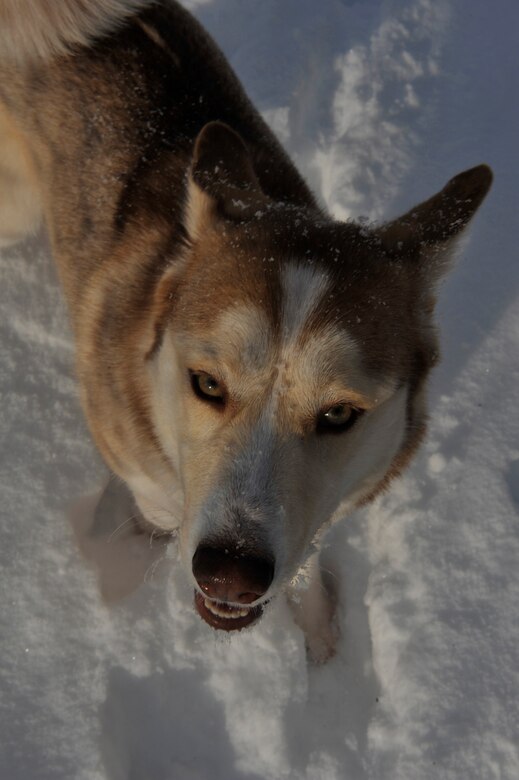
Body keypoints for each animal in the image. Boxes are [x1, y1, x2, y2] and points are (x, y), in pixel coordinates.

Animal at [1, 0, 492, 660]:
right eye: (208, 383)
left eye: (340, 414)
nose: (228, 575)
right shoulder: (143, 478)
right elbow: (148, 523)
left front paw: (318, 621)